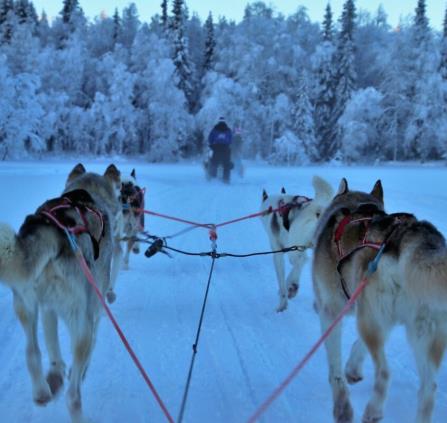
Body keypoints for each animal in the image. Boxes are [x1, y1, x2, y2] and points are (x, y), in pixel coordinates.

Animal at [0, 164, 122, 422]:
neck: (86, 194)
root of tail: (55, 230)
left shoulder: (48, 309)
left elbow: (52, 347)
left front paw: (56, 373)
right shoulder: (94, 312)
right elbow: (89, 350)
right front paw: (78, 371)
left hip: (25, 305)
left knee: (32, 353)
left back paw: (42, 391)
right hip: (81, 321)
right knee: (73, 396)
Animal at [260, 176, 334, 312]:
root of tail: (317, 208)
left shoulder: (278, 253)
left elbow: (282, 279)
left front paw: (282, 302)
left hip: (295, 245)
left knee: (301, 260)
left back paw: (292, 285)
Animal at [314, 179, 447, 423]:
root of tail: (407, 235)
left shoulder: (331, 311)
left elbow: (335, 368)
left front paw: (342, 405)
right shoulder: (368, 311)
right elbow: (358, 346)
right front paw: (353, 368)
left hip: (372, 321)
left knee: (385, 372)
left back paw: (373, 410)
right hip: (421, 333)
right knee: (429, 388)